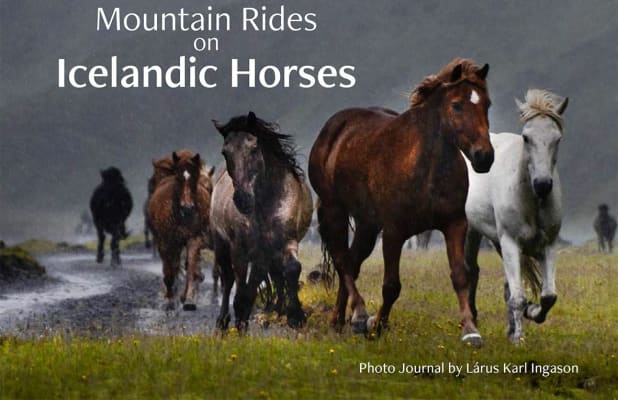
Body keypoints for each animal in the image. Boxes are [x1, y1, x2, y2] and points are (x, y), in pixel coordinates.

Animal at [147, 150, 214, 310]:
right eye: (178, 178)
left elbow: (190, 266)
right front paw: (170, 300)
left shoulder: (193, 239)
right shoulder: (165, 242)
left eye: (194, 177)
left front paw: (188, 299)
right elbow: (169, 270)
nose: (187, 208)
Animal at [211, 111, 312, 332]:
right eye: (225, 152)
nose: (242, 199)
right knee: (228, 279)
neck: (266, 203)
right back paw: (223, 320)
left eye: (254, 148)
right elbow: (239, 288)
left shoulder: (284, 242)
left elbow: (291, 269)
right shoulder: (239, 250)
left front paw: (296, 316)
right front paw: (240, 324)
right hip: (222, 245)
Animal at [310, 57, 494, 346]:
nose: (484, 157)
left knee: (352, 261)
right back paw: (358, 314)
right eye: (456, 105)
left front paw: (470, 330)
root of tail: (332, 129)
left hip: (367, 224)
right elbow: (391, 286)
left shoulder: (454, 224)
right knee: (342, 261)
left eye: (487, 104)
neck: (426, 168)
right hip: (334, 210)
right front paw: (376, 326)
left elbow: (460, 276)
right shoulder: (394, 232)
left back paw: (339, 320)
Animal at [462, 88, 568, 344]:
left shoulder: (549, 245)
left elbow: (548, 295)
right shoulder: (510, 241)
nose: (542, 184)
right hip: (472, 231)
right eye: (526, 137)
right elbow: (518, 296)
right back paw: (473, 321)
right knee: (471, 271)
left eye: (557, 139)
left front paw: (532, 312)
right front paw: (519, 337)